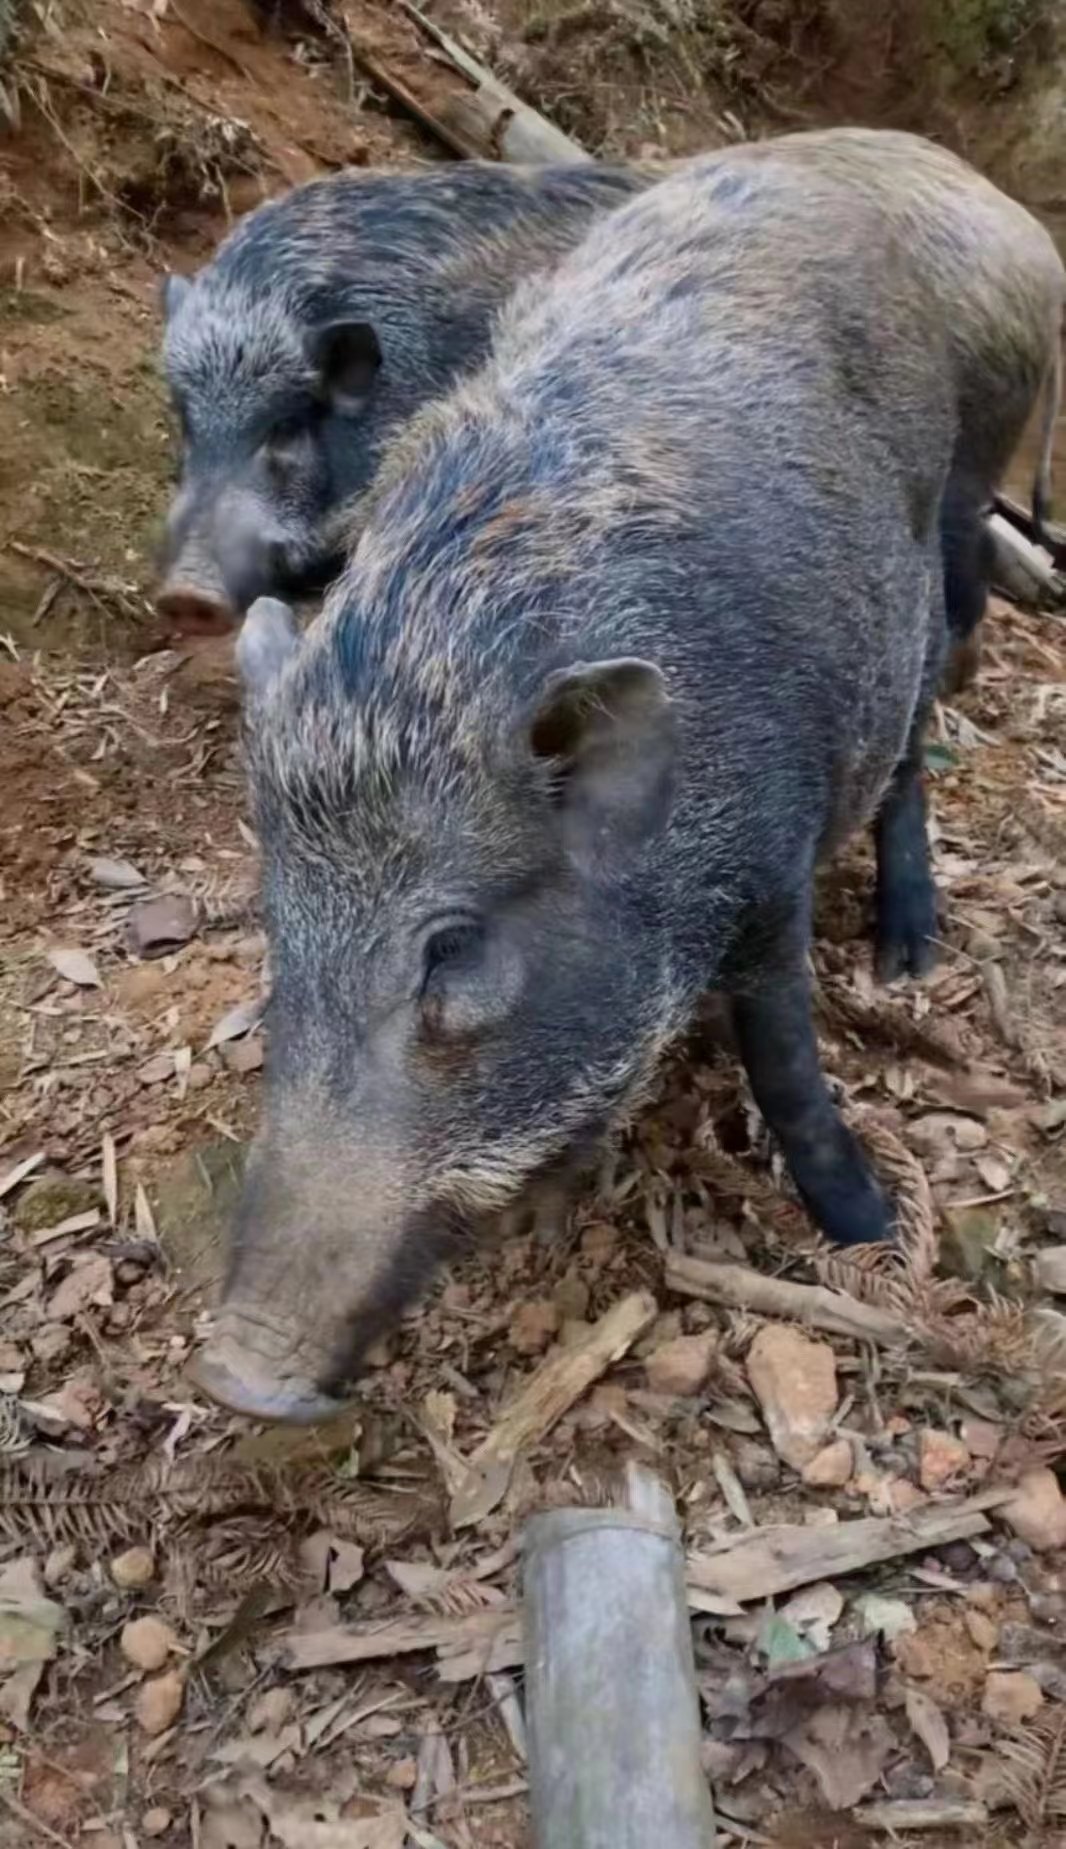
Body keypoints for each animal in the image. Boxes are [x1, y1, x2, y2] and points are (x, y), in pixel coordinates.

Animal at [191, 151, 953, 1420]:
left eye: (450, 947)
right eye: (276, 929)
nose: (237, 1373)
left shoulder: (770, 869)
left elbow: (788, 1064)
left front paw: (867, 1229)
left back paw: (906, 957)